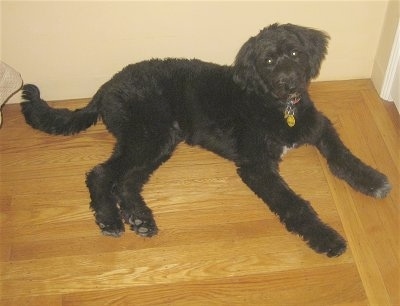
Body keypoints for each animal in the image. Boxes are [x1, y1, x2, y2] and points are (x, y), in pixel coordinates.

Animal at [21, 25, 390, 256]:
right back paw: (110, 219)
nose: (290, 84)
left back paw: (140, 218)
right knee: (101, 173)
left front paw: (371, 179)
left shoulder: (318, 126)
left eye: (297, 54)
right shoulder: (256, 167)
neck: (276, 105)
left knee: (126, 180)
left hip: (159, 140)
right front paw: (325, 237)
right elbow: (294, 203)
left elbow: (342, 155)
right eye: (269, 60)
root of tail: (106, 86)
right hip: (148, 133)